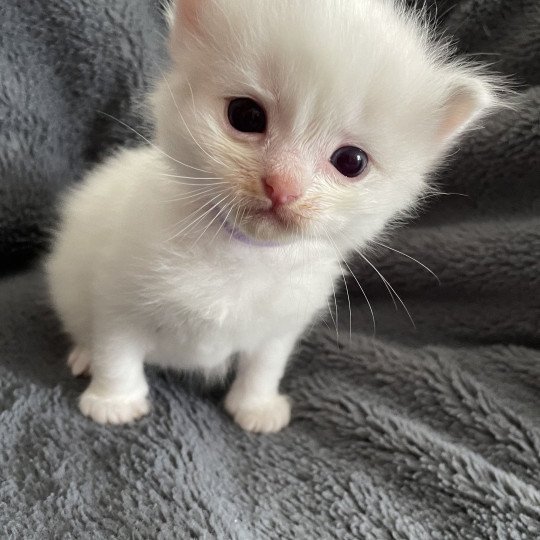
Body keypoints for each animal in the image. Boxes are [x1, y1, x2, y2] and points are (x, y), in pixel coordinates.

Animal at [44, 0, 500, 432]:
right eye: (246, 116)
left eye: (351, 162)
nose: (282, 185)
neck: (241, 253)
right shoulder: (117, 294)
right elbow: (117, 351)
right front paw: (114, 402)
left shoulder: (281, 325)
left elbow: (264, 366)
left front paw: (256, 407)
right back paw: (84, 356)